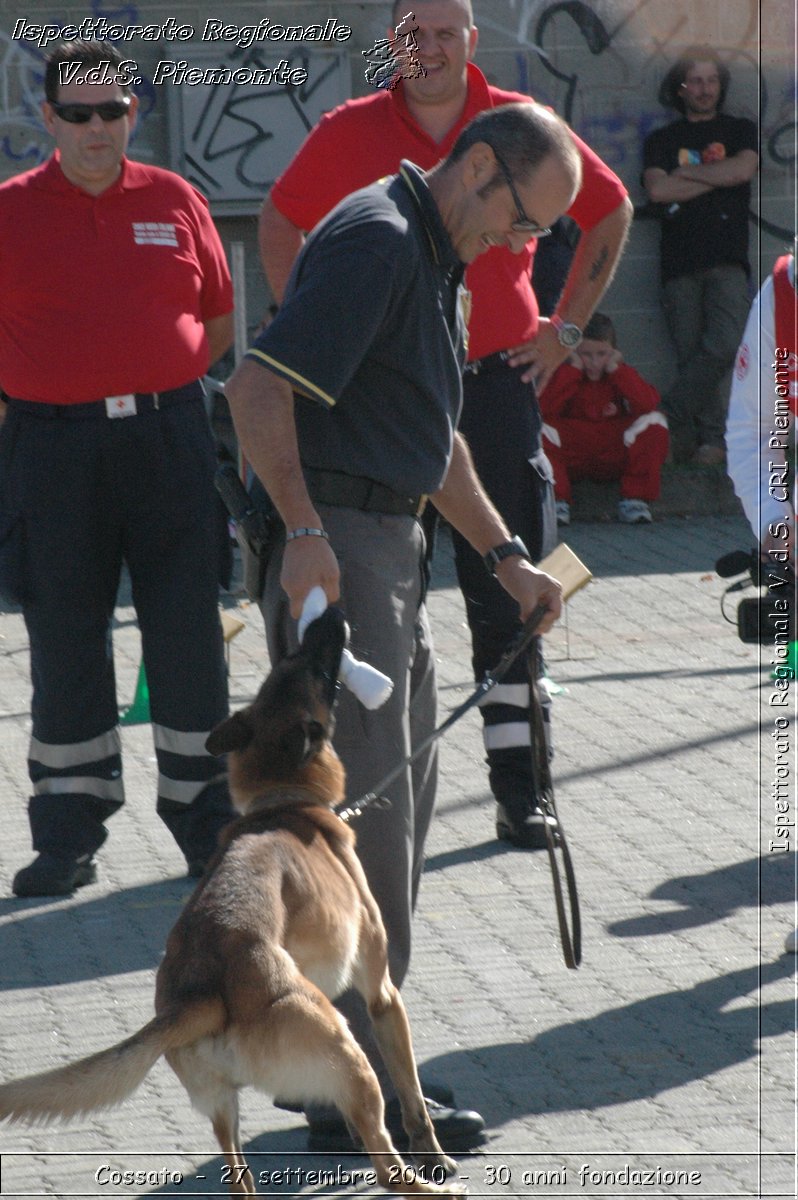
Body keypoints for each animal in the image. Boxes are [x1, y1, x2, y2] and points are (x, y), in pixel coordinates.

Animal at [0, 609, 463, 1200]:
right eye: (317, 668)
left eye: (291, 664)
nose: (327, 616)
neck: (283, 801)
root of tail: (204, 988)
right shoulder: (382, 996)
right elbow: (410, 1094)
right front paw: (437, 1154)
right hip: (349, 1055)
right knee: (385, 1164)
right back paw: (431, 1186)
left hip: (226, 1111)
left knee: (240, 1179)